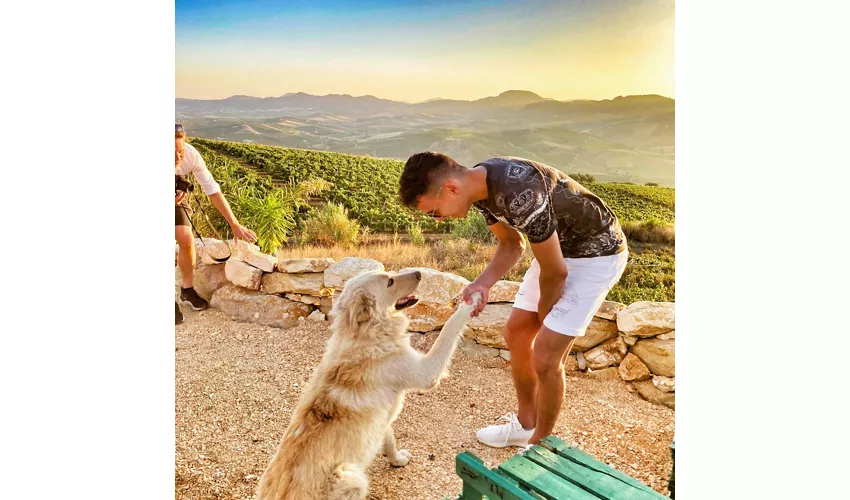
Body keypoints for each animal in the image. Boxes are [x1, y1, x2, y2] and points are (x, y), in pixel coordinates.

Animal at [253, 270, 476, 500]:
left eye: (390, 274)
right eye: (390, 282)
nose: (419, 273)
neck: (365, 336)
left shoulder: (383, 419)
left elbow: (389, 439)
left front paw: (396, 460)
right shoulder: (426, 371)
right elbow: (449, 328)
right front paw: (471, 303)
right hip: (352, 477)